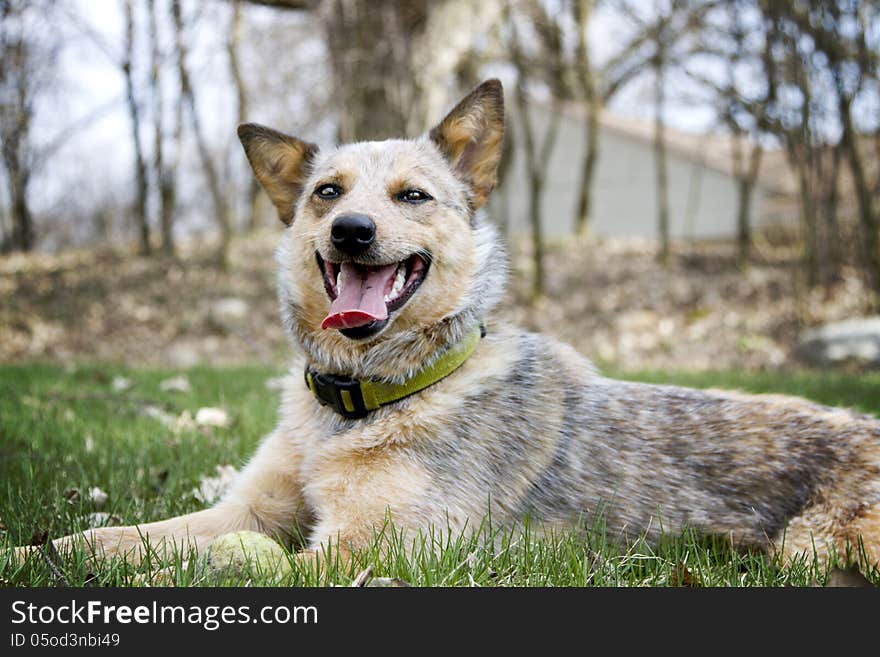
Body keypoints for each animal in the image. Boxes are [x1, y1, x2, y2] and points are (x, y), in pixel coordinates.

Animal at [13, 79, 880, 576]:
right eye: (326, 191)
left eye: (413, 196)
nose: (352, 230)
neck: (366, 398)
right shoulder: (245, 511)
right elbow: (124, 536)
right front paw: (33, 552)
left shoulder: (366, 549)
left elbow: (206, 573)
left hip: (811, 548)